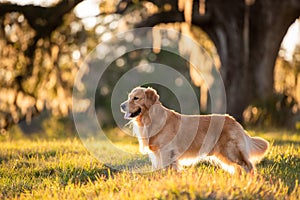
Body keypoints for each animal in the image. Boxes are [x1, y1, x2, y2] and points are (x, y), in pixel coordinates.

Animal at [120, 86, 270, 174]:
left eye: (136, 98)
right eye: (128, 97)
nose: (121, 105)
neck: (150, 119)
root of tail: (234, 121)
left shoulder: (166, 152)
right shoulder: (157, 154)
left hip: (231, 151)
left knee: (249, 166)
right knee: (239, 169)